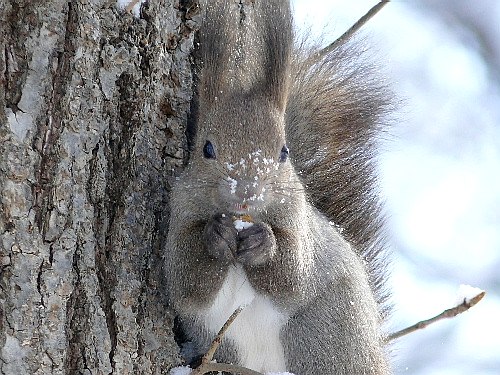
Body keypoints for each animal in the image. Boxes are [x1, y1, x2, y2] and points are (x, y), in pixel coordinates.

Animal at [166, 1, 392, 374]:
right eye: (207, 148)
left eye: (284, 152)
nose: (246, 193)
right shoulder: (178, 216)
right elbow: (186, 282)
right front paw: (215, 235)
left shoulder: (300, 225)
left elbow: (292, 276)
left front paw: (264, 242)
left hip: (328, 340)